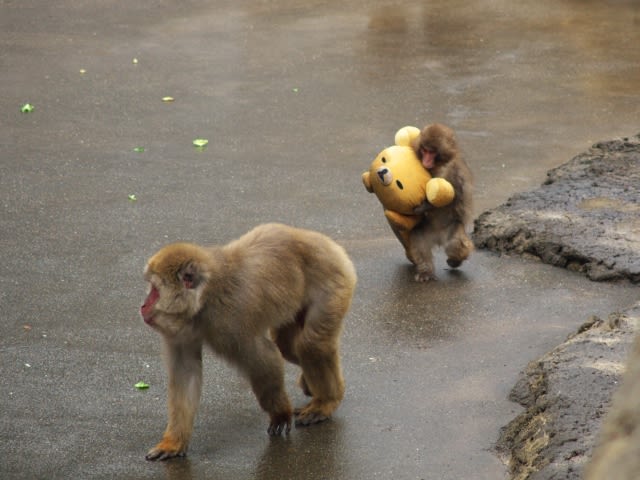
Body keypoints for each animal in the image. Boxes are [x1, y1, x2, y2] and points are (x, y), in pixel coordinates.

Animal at [141, 223, 358, 460]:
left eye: (154, 291)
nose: (143, 306)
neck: (206, 298)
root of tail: (329, 244)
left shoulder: (231, 322)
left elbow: (262, 357)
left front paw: (279, 413)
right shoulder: (183, 329)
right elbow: (186, 373)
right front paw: (173, 443)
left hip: (333, 281)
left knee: (310, 344)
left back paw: (327, 401)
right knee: (288, 346)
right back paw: (313, 385)